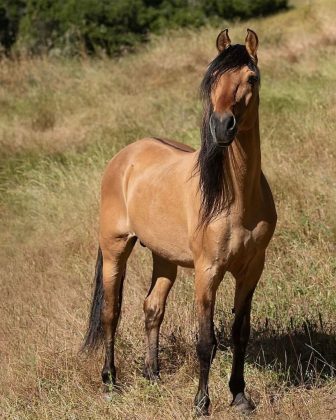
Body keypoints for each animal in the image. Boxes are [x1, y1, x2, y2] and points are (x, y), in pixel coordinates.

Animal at [82, 27, 276, 416]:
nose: (221, 126)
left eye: (252, 77)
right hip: (115, 250)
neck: (236, 198)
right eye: (212, 78)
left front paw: (240, 396)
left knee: (152, 308)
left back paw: (152, 374)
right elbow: (206, 341)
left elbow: (240, 333)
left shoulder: (251, 269)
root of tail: (125, 157)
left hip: (164, 257)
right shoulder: (208, 270)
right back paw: (110, 380)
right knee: (111, 313)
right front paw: (201, 403)